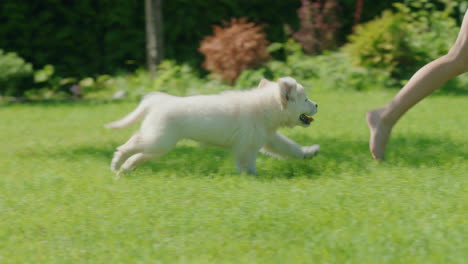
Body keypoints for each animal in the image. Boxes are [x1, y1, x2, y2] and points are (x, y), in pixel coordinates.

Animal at [105, 77, 318, 177]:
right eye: (306, 99)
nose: (317, 105)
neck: (266, 107)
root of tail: (158, 101)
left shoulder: (267, 138)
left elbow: (289, 147)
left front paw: (309, 152)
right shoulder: (245, 147)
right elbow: (247, 164)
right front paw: (252, 178)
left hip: (159, 145)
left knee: (138, 156)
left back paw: (124, 169)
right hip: (158, 139)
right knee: (131, 143)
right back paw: (116, 162)